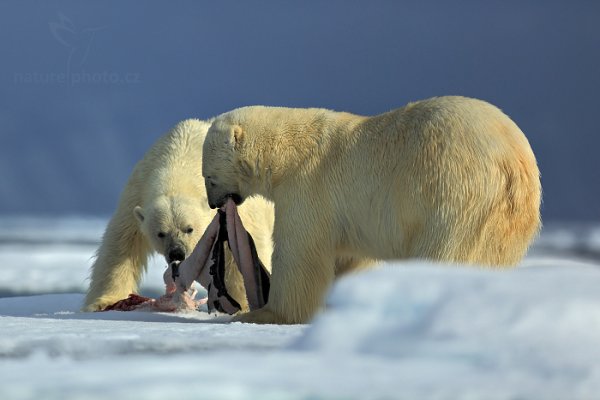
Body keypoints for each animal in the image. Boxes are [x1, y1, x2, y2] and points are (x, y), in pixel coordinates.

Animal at [82, 119, 274, 312]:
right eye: (160, 233)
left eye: (189, 229)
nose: (177, 253)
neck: (181, 157)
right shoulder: (137, 191)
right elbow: (122, 244)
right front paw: (104, 302)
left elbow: (240, 249)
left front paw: (243, 304)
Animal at [203, 96, 544, 324]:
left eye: (208, 177)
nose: (213, 203)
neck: (289, 152)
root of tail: (511, 160)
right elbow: (350, 257)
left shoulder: (308, 187)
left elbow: (300, 254)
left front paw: (266, 313)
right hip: (510, 215)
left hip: (449, 188)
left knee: (444, 250)